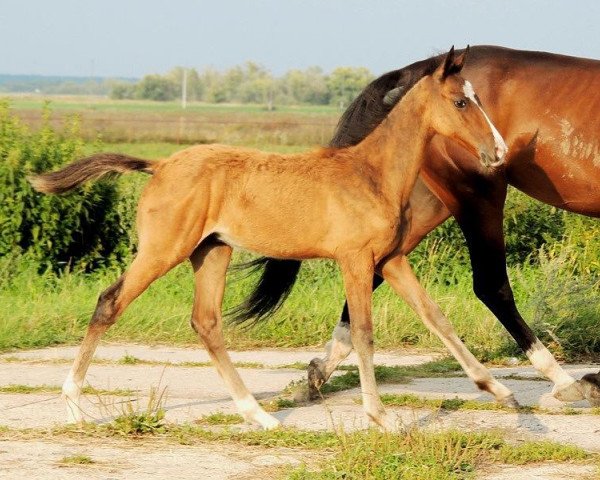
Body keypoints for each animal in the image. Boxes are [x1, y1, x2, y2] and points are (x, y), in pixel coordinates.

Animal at [29, 47, 506, 432]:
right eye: (460, 101)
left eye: (479, 98)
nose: (498, 152)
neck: (372, 174)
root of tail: (160, 165)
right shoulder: (355, 260)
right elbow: (365, 333)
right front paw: (381, 417)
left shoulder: (390, 259)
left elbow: (435, 316)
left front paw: (495, 387)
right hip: (163, 250)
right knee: (109, 302)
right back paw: (73, 404)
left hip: (212, 251)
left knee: (206, 322)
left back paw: (258, 415)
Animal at [232, 44, 600, 404]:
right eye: (461, 102)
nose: (499, 149)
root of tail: (424, 66)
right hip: (475, 193)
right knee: (491, 285)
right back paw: (565, 381)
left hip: (425, 204)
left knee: (380, 269)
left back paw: (318, 373)